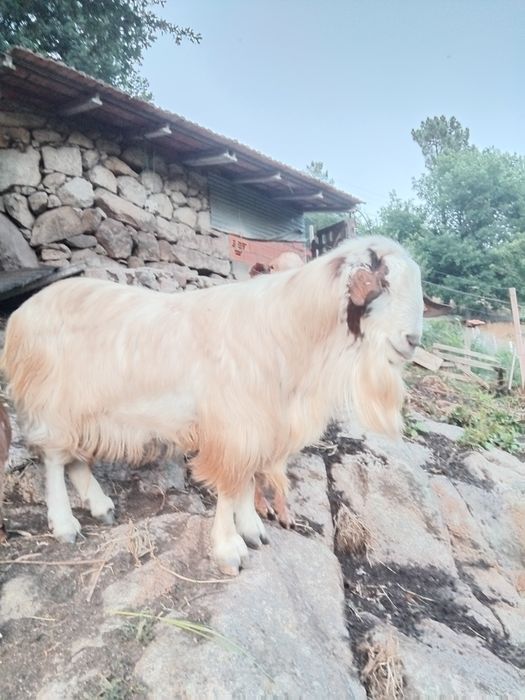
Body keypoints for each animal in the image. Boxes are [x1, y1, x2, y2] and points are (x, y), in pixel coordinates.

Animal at [1, 235, 423, 575]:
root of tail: (23, 311)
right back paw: (65, 523)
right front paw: (229, 547)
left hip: (83, 410)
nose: (413, 340)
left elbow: (246, 480)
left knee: (74, 460)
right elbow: (231, 485)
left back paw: (100, 505)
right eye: (383, 282)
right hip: (52, 401)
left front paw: (252, 528)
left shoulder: (257, 425)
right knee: (54, 460)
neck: (290, 328)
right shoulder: (235, 423)